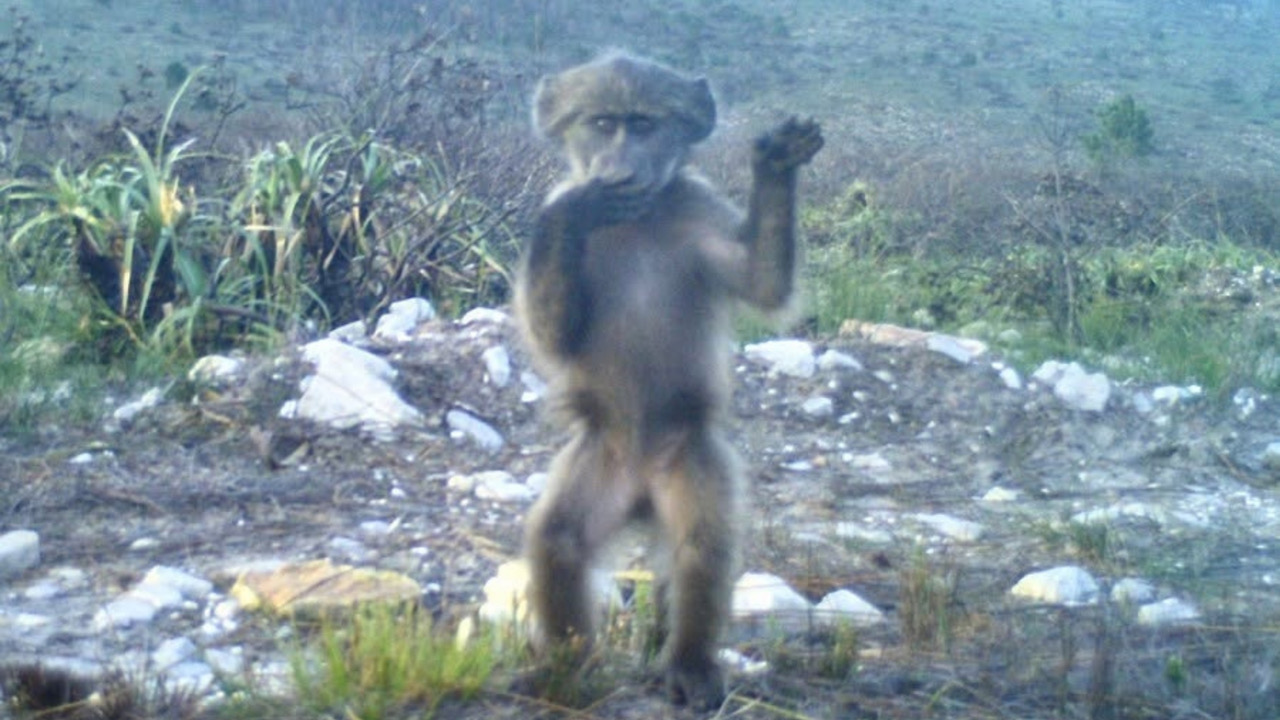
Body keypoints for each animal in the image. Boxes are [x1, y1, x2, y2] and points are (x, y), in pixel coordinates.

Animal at [514, 51, 822, 710]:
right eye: (604, 123)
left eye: (644, 125)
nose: (620, 168)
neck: (641, 217)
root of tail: (639, 492)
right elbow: (553, 337)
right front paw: (574, 214)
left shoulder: (699, 210)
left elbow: (763, 284)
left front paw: (777, 162)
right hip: (596, 462)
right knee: (558, 540)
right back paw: (568, 667)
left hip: (690, 458)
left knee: (700, 548)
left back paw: (690, 667)